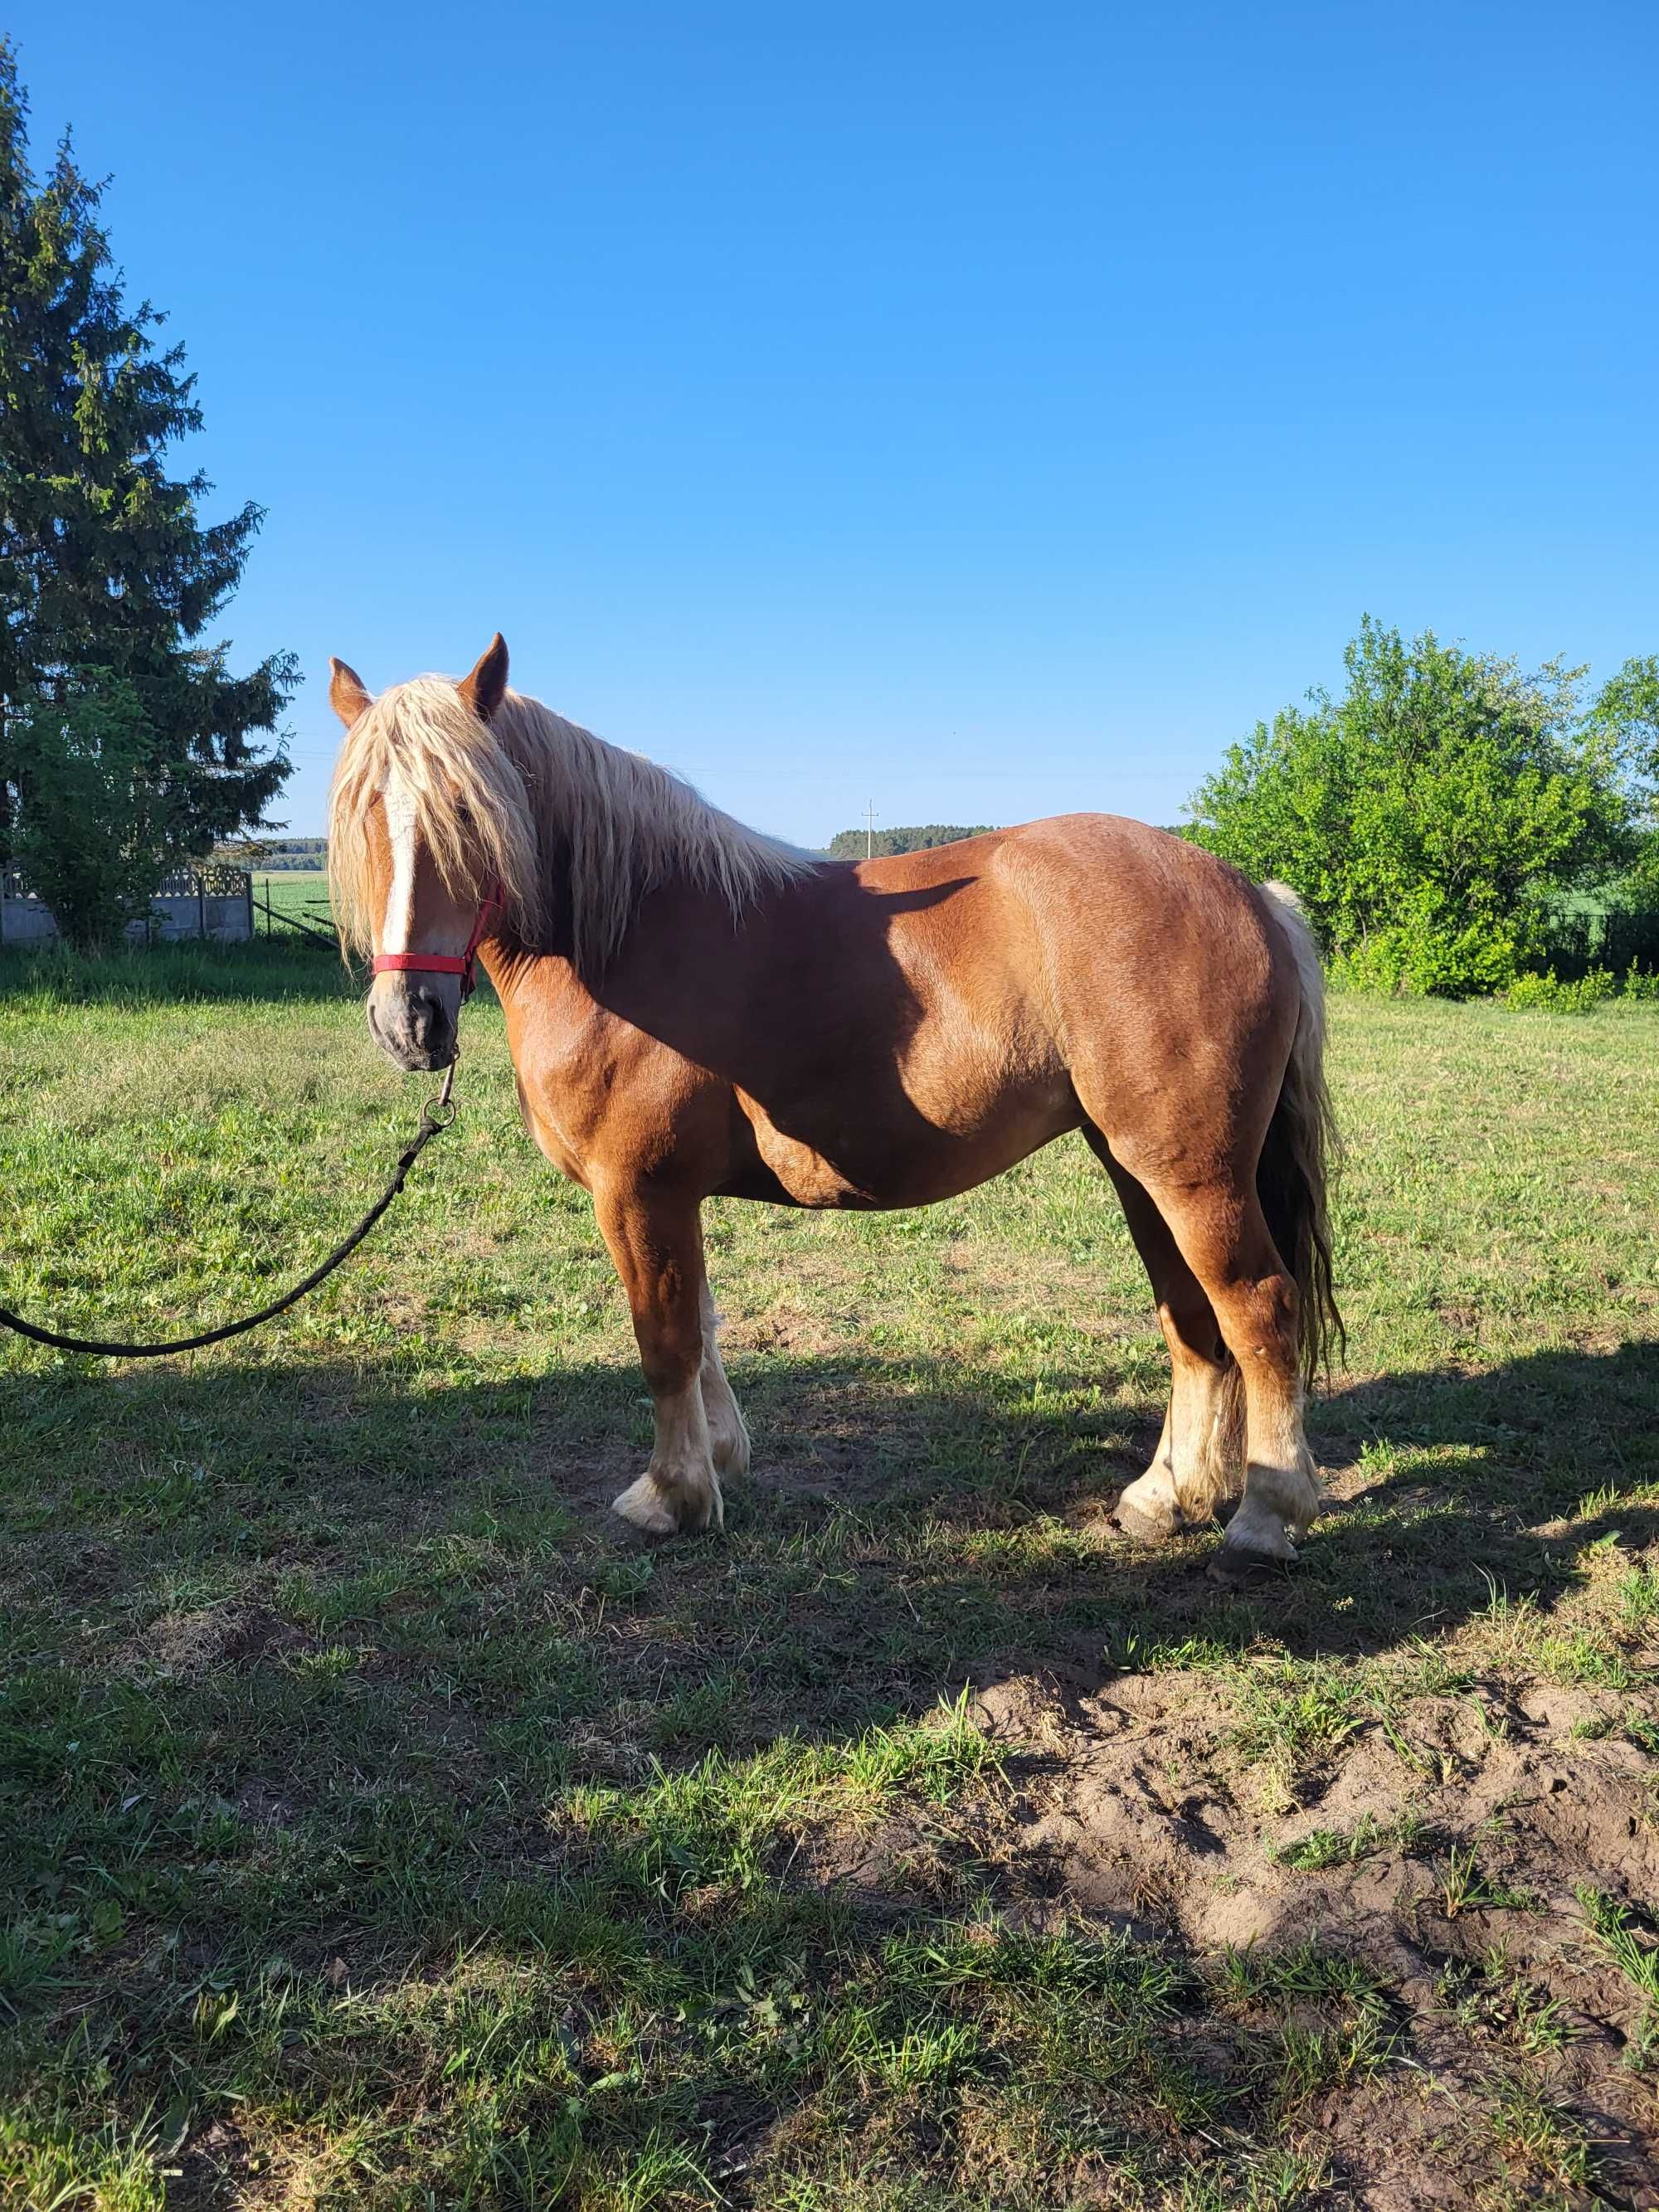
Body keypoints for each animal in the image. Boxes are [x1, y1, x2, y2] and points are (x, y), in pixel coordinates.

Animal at [332, 632, 1345, 1583]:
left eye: (469, 812)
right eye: (366, 818)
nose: (408, 1020)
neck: (625, 937)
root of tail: (1248, 892)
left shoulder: (636, 1189)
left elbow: (663, 1340)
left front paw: (670, 1496)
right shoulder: (670, 1195)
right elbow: (701, 1326)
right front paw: (720, 1462)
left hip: (1191, 1174)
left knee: (1257, 1310)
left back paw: (1263, 1517)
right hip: (1138, 1168)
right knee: (1191, 1321)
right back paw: (1166, 1496)